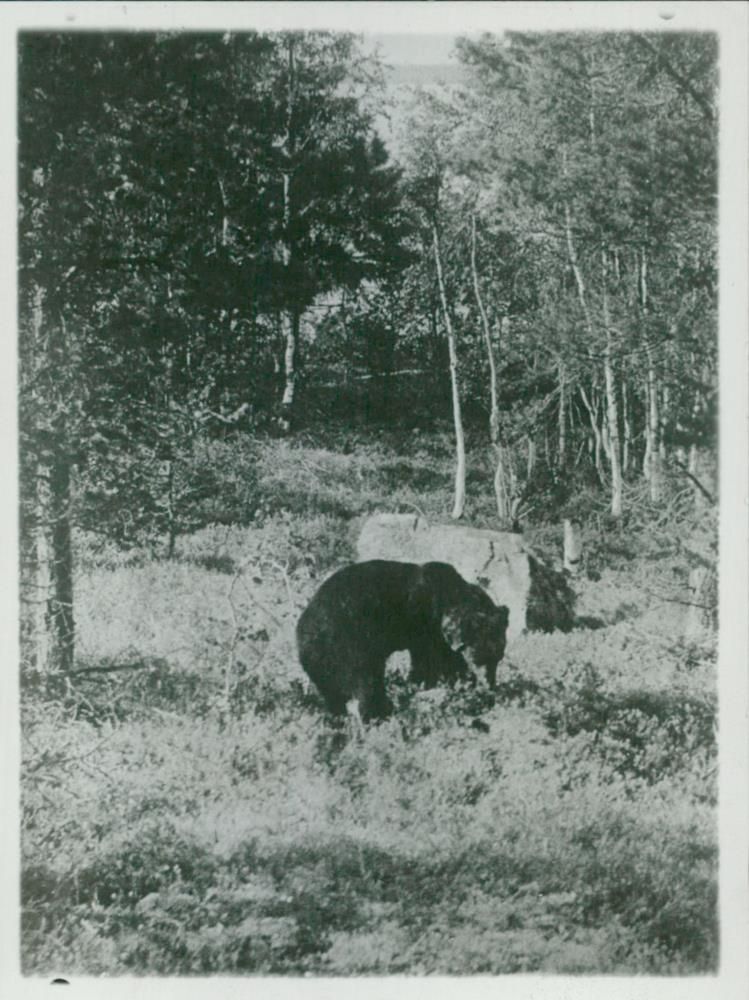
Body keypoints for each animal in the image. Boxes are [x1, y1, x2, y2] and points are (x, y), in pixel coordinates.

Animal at [296, 564, 508, 720]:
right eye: (483, 659)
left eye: (498, 658)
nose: (490, 685)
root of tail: (303, 632)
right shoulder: (425, 623)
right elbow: (430, 661)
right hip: (346, 645)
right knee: (365, 684)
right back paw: (378, 714)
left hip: (321, 662)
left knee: (333, 694)